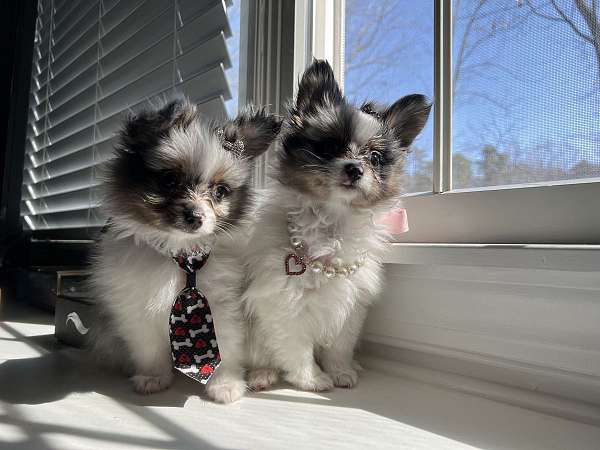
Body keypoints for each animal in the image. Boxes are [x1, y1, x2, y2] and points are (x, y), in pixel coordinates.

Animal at [91, 97, 282, 400]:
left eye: (220, 191)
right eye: (169, 180)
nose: (196, 217)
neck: (183, 255)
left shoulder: (224, 307)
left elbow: (226, 347)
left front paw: (225, 385)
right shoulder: (138, 309)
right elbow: (149, 348)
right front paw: (153, 378)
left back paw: (262, 375)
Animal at [244, 59, 432, 390]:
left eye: (374, 158)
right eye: (330, 148)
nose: (355, 168)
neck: (333, 222)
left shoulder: (350, 304)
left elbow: (340, 345)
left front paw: (340, 370)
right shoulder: (283, 305)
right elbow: (296, 348)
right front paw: (312, 379)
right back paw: (262, 374)